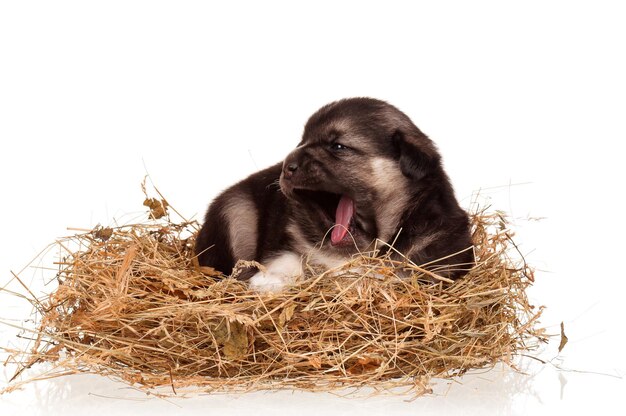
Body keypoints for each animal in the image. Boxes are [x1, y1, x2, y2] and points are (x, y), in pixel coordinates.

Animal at [195, 98, 472, 290]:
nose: (286, 167)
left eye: (337, 146)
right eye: (302, 141)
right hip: (235, 211)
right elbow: (289, 258)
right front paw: (269, 281)